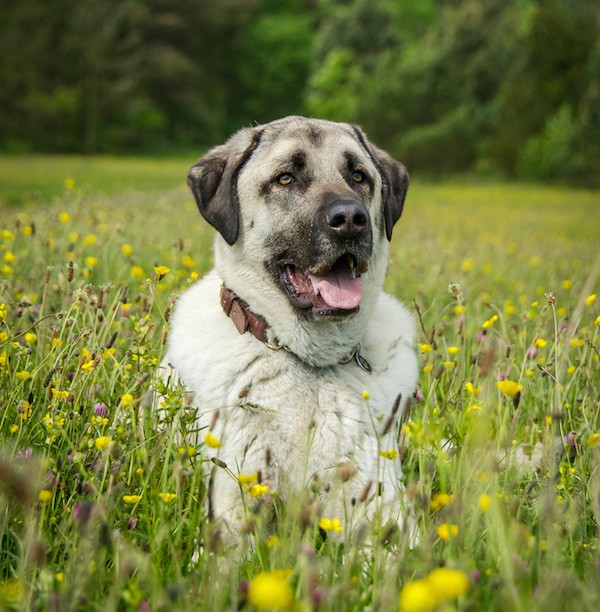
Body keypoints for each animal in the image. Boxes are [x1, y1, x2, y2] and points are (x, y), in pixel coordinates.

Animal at [162, 115, 420, 540]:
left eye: (359, 176)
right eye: (285, 179)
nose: (351, 220)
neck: (310, 364)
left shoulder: (378, 501)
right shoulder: (235, 495)